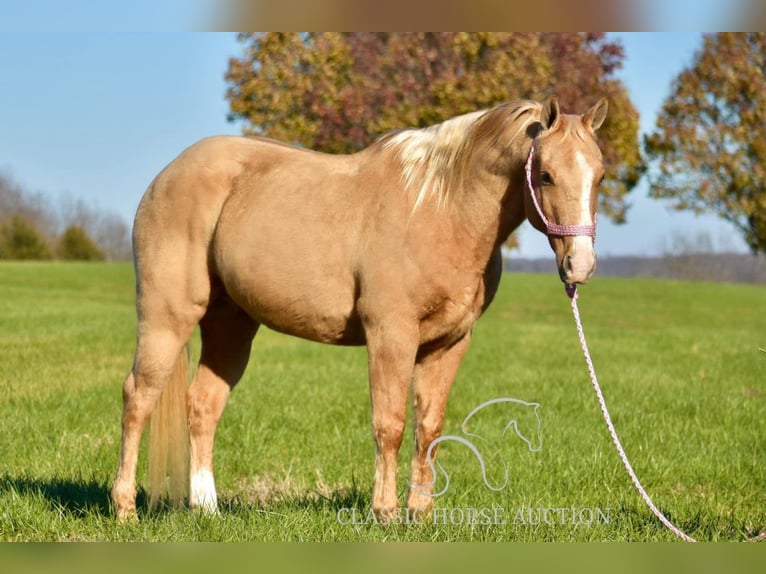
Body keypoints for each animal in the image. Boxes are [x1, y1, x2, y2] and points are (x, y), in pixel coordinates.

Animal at [111, 95, 608, 520]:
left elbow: (429, 428)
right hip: (167, 316)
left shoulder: (448, 344)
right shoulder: (391, 334)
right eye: (545, 175)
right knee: (138, 397)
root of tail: (167, 175)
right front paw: (385, 512)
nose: (580, 265)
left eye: (600, 176)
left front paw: (420, 514)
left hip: (231, 326)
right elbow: (389, 425)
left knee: (202, 404)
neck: (441, 208)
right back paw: (125, 509)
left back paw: (207, 509)